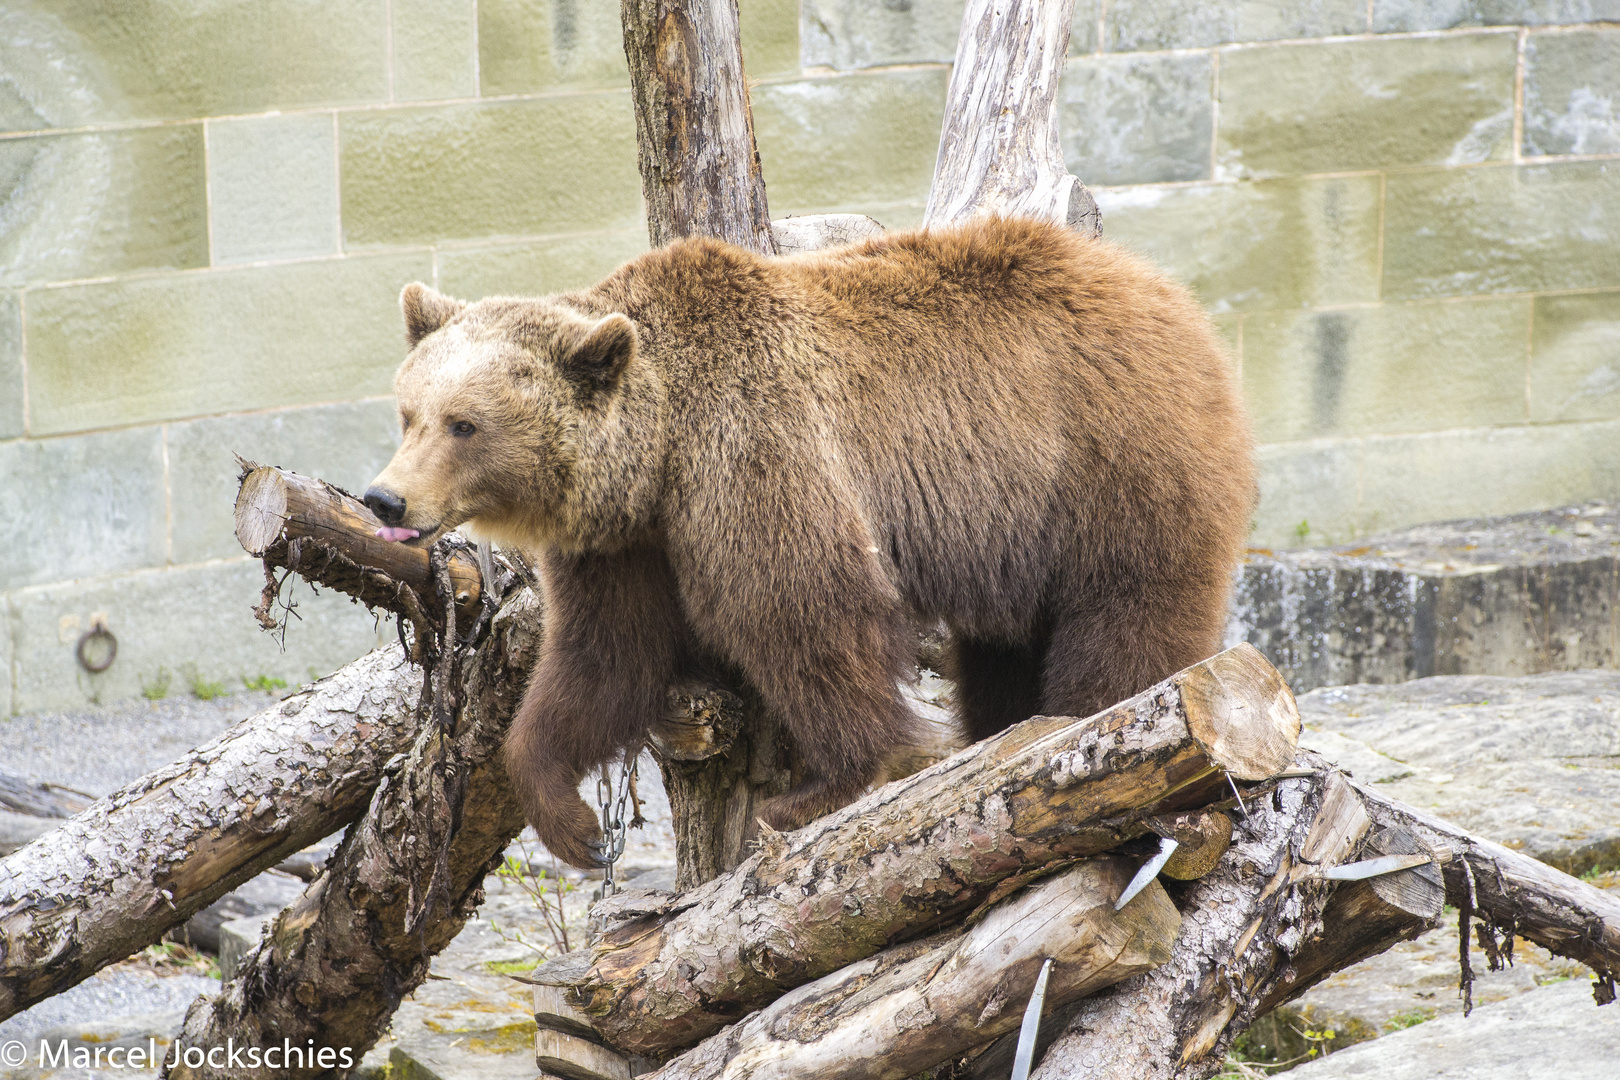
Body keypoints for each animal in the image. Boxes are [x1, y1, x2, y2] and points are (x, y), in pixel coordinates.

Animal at [364, 216, 1250, 867]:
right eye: (409, 412)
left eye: (464, 424)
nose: (384, 496)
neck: (658, 453)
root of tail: (1179, 301)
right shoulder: (629, 544)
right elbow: (604, 656)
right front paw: (572, 823)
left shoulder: (755, 449)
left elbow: (803, 611)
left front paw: (825, 787)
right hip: (1021, 533)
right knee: (1002, 653)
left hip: (1110, 466)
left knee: (1126, 618)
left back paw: (1098, 728)